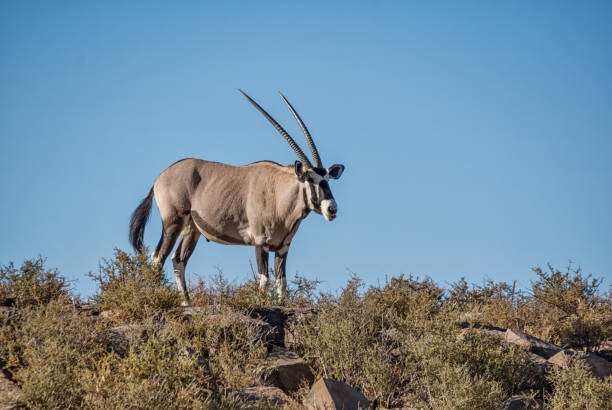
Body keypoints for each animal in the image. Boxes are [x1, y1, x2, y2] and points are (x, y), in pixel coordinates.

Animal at [128, 89, 344, 304]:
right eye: (310, 179)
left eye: (327, 178)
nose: (331, 208)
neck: (279, 193)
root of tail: (159, 178)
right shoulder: (261, 242)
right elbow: (264, 280)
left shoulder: (282, 247)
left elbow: (281, 283)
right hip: (173, 223)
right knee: (158, 258)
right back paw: (157, 298)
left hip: (191, 230)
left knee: (178, 259)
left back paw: (186, 302)